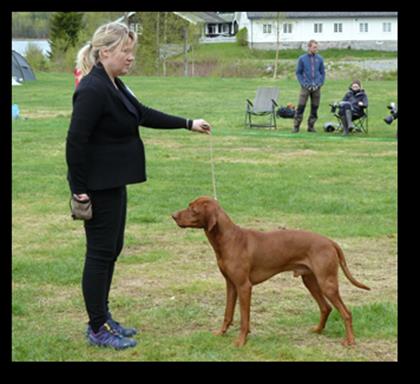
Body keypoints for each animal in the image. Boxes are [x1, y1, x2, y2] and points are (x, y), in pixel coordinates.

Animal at [172, 196, 370, 346]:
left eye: (192, 209)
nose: (172, 215)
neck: (229, 239)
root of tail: (330, 241)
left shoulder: (244, 286)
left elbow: (244, 318)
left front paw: (241, 341)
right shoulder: (231, 284)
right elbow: (228, 313)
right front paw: (221, 333)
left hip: (326, 283)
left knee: (346, 312)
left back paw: (350, 341)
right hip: (310, 280)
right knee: (325, 307)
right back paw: (318, 330)